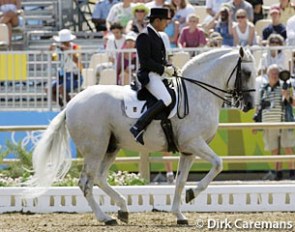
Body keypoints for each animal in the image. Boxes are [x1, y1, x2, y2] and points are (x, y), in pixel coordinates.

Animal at [26, 47, 256, 225]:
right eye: (246, 72)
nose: (250, 105)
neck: (198, 92)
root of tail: (71, 104)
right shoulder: (194, 143)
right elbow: (218, 163)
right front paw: (192, 193)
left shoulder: (188, 150)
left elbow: (180, 181)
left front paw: (179, 214)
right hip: (95, 149)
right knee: (86, 183)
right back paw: (105, 218)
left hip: (111, 146)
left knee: (99, 178)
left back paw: (122, 209)